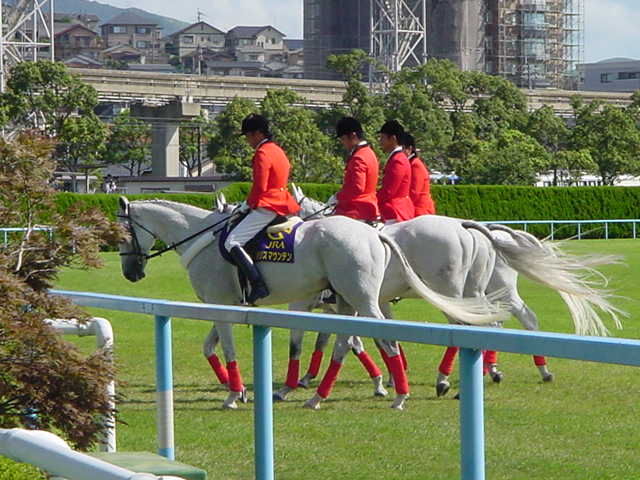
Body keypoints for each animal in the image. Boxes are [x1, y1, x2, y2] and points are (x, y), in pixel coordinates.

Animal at [116, 195, 504, 408]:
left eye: (120, 233)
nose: (130, 273)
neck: (205, 239)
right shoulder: (231, 305)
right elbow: (212, 348)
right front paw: (240, 388)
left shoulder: (233, 305)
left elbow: (239, 347)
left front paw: (237, 392)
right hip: (361, 299)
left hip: (387, 297)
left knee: (399, 335)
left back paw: (414, 389)